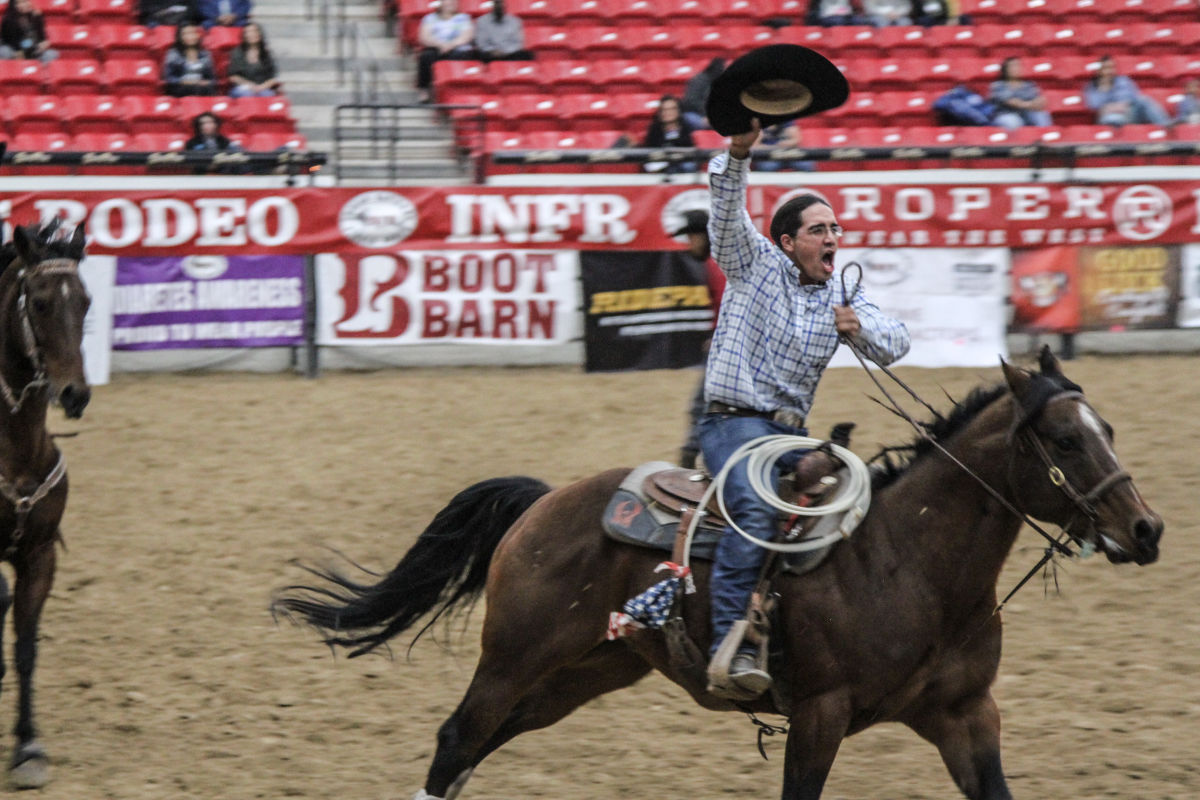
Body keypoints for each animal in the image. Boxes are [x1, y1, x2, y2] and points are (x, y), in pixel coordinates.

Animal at [274, 352, 1161, 800]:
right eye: (1066, 440)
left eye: (1111, 428)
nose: (1146, 529)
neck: (911, 567)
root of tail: (544, 501)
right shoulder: (820, 715)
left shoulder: (967, 716)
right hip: (515, 655)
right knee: (458, 738)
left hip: (584, 673)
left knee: (479, 746)